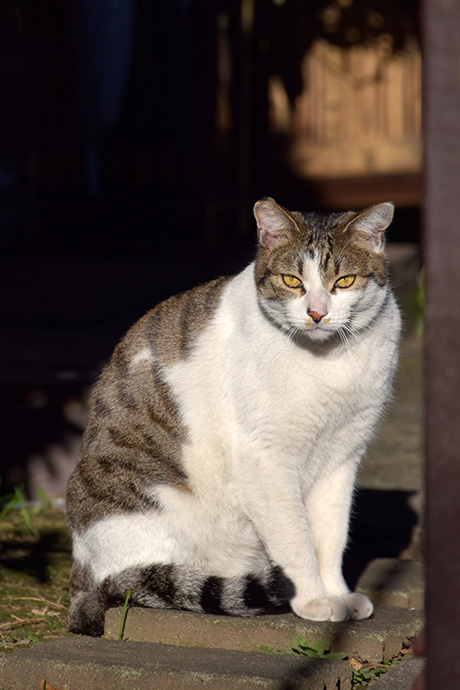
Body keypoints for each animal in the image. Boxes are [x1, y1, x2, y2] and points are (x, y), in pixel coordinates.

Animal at [66, 196, 400, 632]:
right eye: (292, 281)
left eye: (343, 282)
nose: (316, 313)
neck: (328, 361)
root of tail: (80, 579)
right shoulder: (266, 459)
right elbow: (295, 538)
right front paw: (313, 599)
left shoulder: (342, 457)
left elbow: (330, 535)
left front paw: (338, 594)